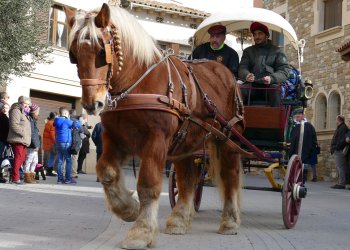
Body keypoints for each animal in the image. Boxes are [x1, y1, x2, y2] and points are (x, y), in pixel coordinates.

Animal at [65, 3, 246, 248]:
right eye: (73, 55)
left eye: (102, 52)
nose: (92, 104)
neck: (137, 84)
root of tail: (227, 74)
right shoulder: (115, 138)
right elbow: (106, 171)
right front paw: (128, 208)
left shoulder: (156, 140)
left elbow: (148, 184)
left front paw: (141, 231)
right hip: (186, 143)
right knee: (187, 179)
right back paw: (179, 220)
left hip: (228, 140)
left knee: (230, 176)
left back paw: (229, 221)